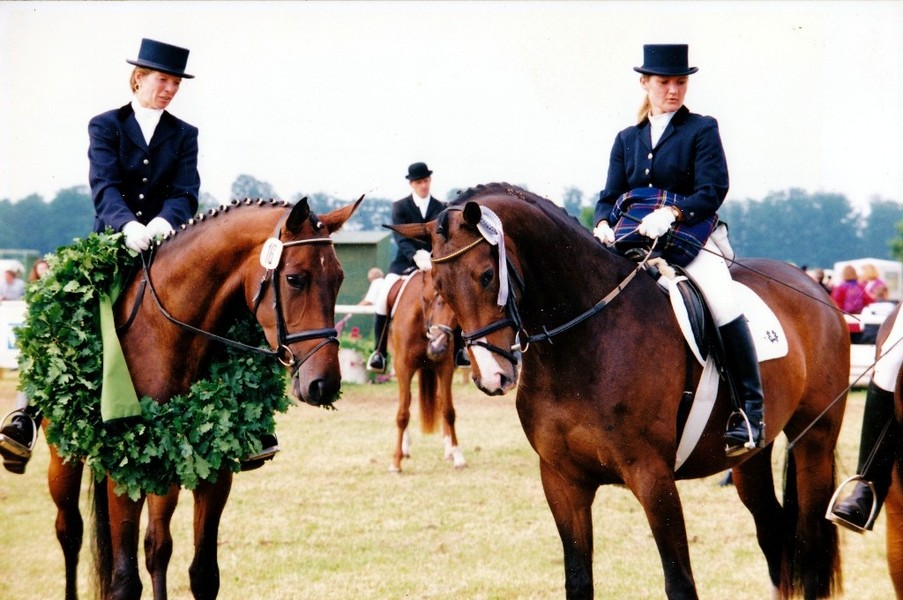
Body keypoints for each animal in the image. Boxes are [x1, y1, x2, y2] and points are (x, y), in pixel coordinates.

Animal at [43, 196, 360, 600]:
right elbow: (125, 580)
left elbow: (203, 574)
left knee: (157, 546)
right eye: (294, 279)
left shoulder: (215, 472)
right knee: (70, 533)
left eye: (339, 278)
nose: (325, 384)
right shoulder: (124, 474)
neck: (165, 333)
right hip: (64, 457)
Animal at [385, 266, 466, 473]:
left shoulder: (445, 367)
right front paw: (396, 461)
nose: (437, 348)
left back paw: (449, 450)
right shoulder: (403, 367)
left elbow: (448, 411)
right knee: (404, 401)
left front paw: (458, 455)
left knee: (441, 401)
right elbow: (403, 413)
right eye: (439, 302)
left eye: (457, 313)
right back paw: (405, 448)